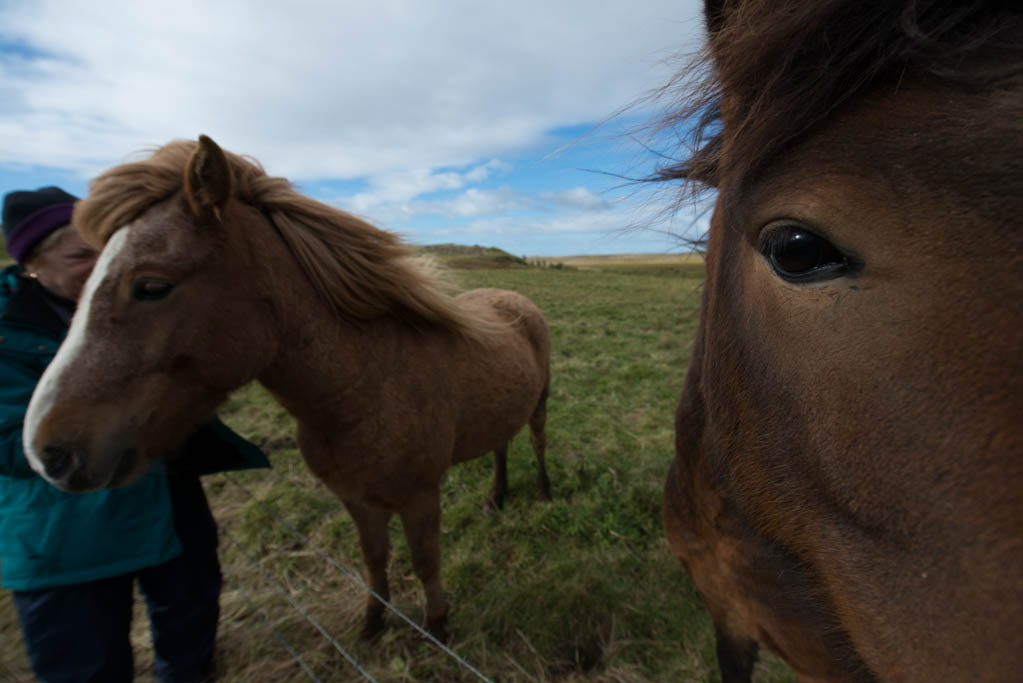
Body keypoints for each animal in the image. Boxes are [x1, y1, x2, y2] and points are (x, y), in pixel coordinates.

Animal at [21, 135, 552, 642]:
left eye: (151, 286)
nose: (46, 451)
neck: (362, 388)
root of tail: (514, 299)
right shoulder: (357, 499)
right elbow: (374, 562)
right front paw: (373, 625)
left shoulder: (420, 496)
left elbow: (425, 563)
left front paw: (438, 628)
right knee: (501, 445)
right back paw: (496, 497)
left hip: (540, 406)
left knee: (537, 442)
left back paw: (545, 493)